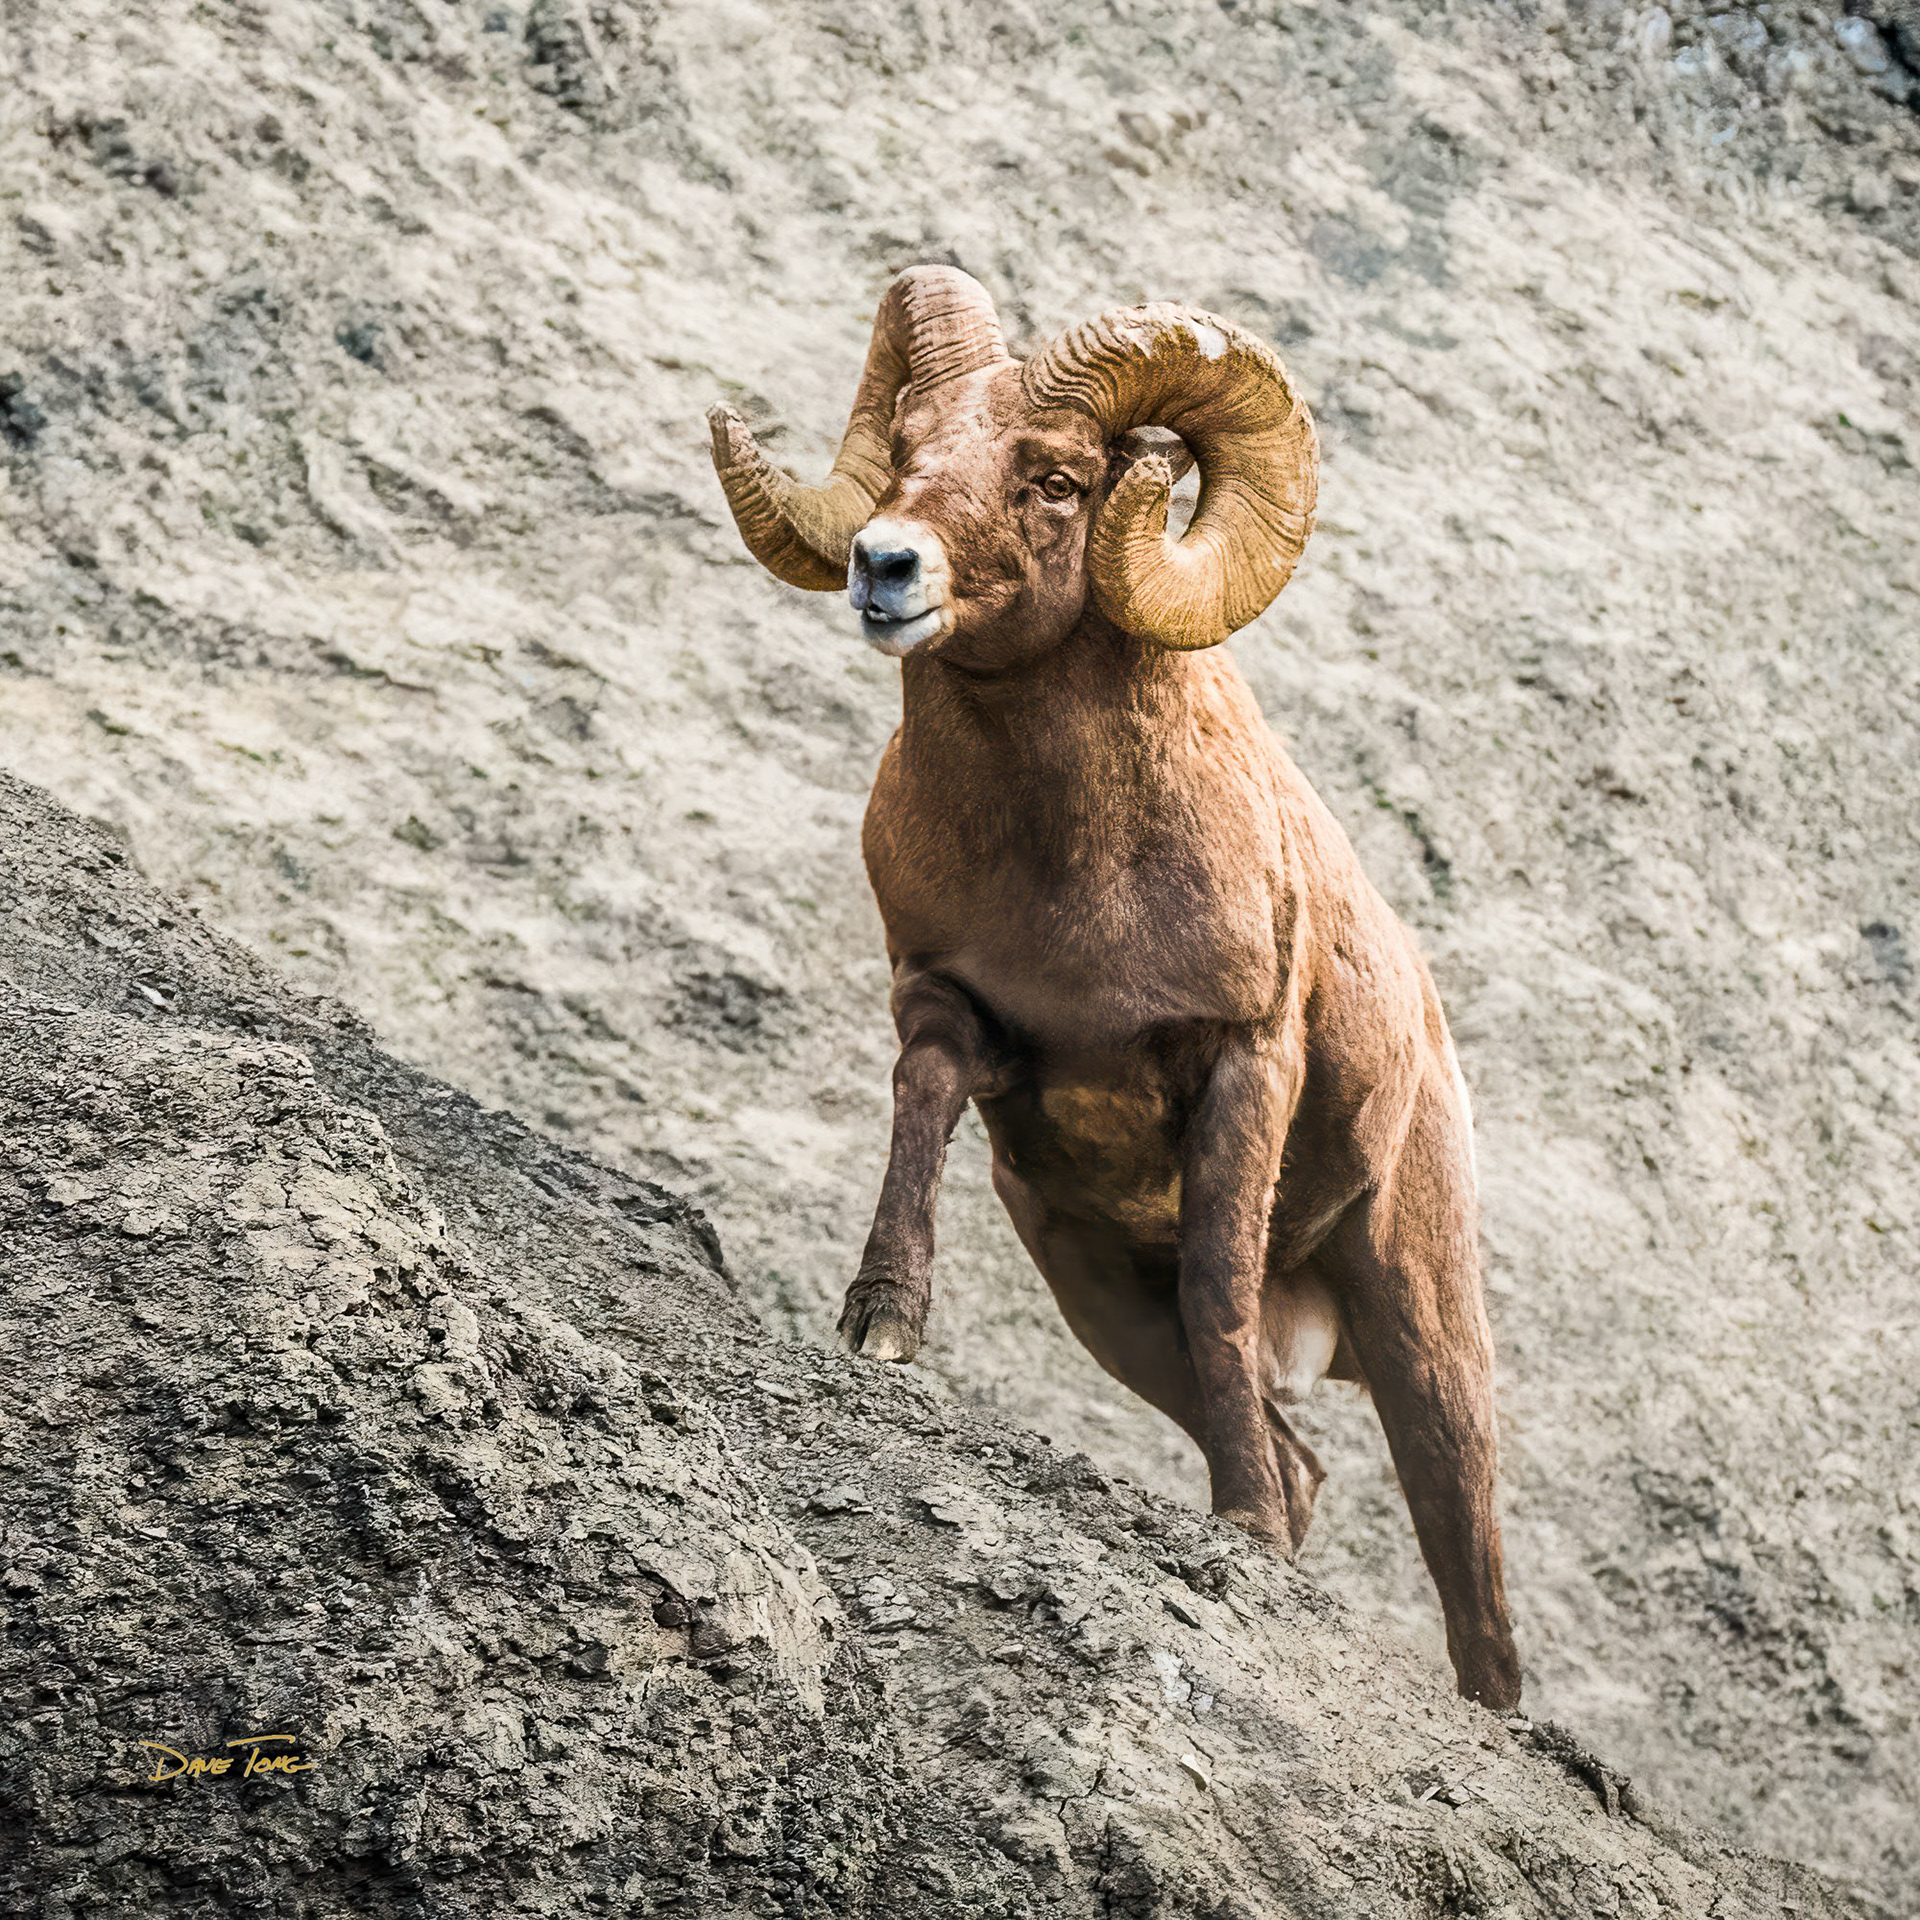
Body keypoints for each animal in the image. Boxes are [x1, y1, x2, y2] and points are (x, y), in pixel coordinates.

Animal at [706, 266, 1521, 1710]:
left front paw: (1238, 1529)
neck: (1074, 875)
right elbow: (920, 1102)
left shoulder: (1241, 1064)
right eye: (907, 452)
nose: (885, 567)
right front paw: (881, 1327)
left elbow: (1218, 1282)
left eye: (1057, 480)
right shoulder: (954, 1008)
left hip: (1420, 1321)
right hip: (1099, 1301)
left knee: (1469, 1569)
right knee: (1299, 1455)